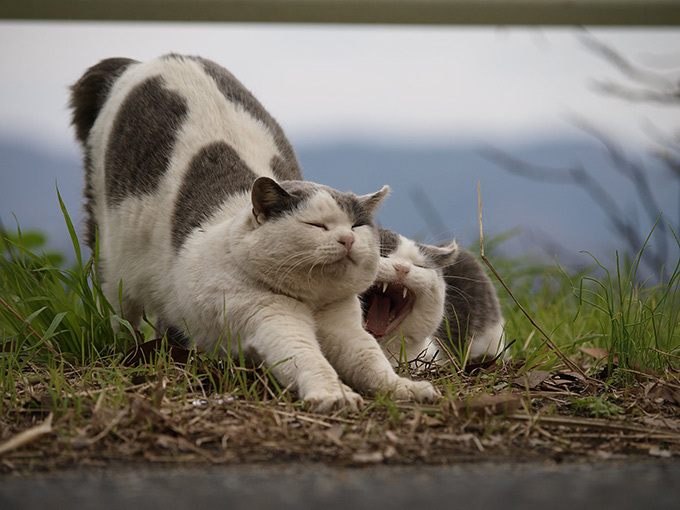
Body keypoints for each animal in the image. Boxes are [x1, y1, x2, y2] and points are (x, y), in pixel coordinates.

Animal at [71, 54, 438, 414]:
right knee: (121, 315)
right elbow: (307, 356)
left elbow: (370, 360)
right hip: (112, 265)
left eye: (356, 227)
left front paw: (404, 388)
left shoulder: (345, 326)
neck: (311, 302)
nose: (346, 239)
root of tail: (148, 60)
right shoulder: (269, 317)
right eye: (317, 225)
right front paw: (334, 395)